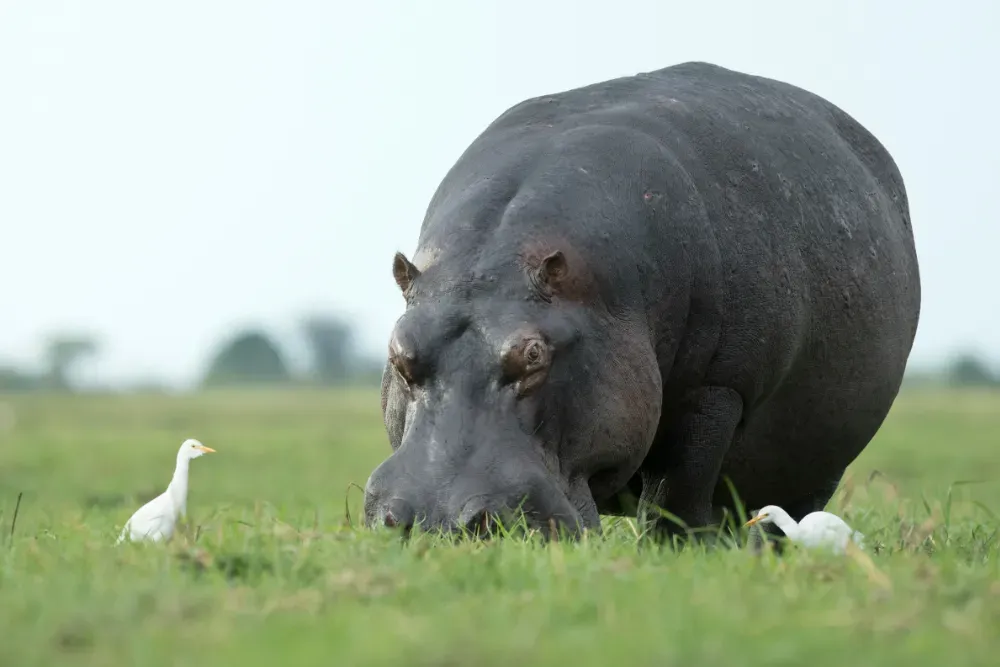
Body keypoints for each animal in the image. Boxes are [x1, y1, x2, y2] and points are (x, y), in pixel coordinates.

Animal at [363, 61, 921, 542]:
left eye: (534, 354)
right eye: (399, 352)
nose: (438, 520)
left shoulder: (718, 386)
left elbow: (678, 489)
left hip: (816, 461)